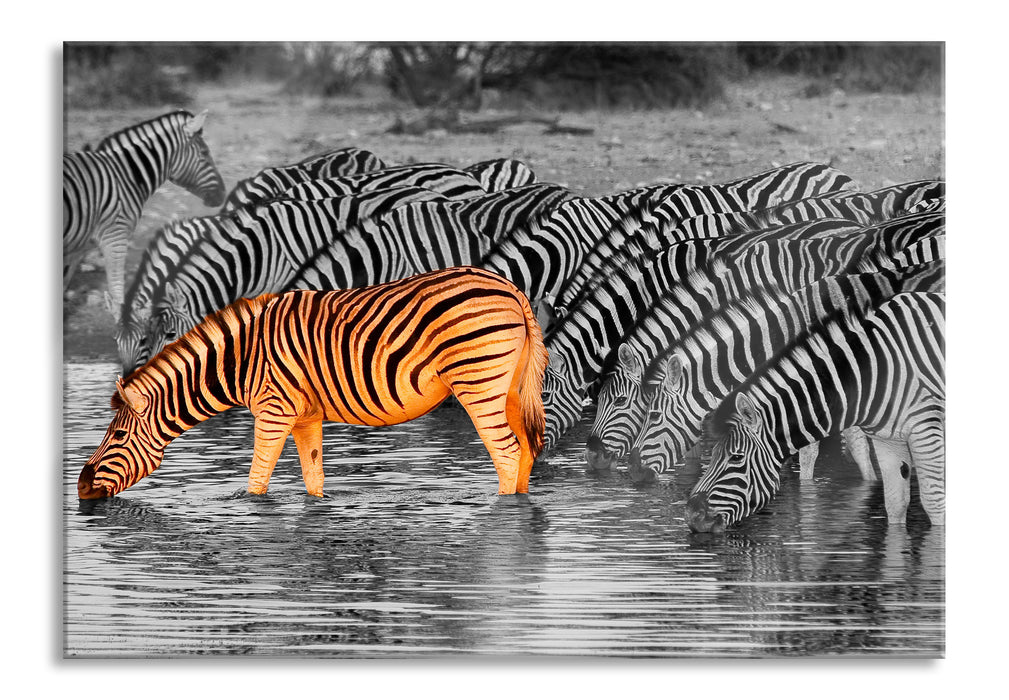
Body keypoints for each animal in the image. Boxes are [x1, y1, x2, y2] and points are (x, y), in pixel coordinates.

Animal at [63, 110, 226, 319]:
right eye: (204, 153)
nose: (222, 195)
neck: (124, 176)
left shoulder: (78, 248)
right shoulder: (115, 237)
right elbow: (117, 296)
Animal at [78, 267, 549, 500]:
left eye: (117, 436)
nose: (80, 488)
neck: (240, 361)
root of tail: (511, 289)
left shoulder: (273, 410)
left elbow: (256, 482)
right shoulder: (305, 416)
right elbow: (313, 479)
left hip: (477, 382)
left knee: (507, 453)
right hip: (508, 387)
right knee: (526, 450)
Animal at [684, 291, 945, 532]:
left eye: (736, 458)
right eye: (713, 454)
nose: (691, 516)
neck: (868, 373)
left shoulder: (926, 430)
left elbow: (934, 503)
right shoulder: (887, 441)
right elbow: (895, 504)